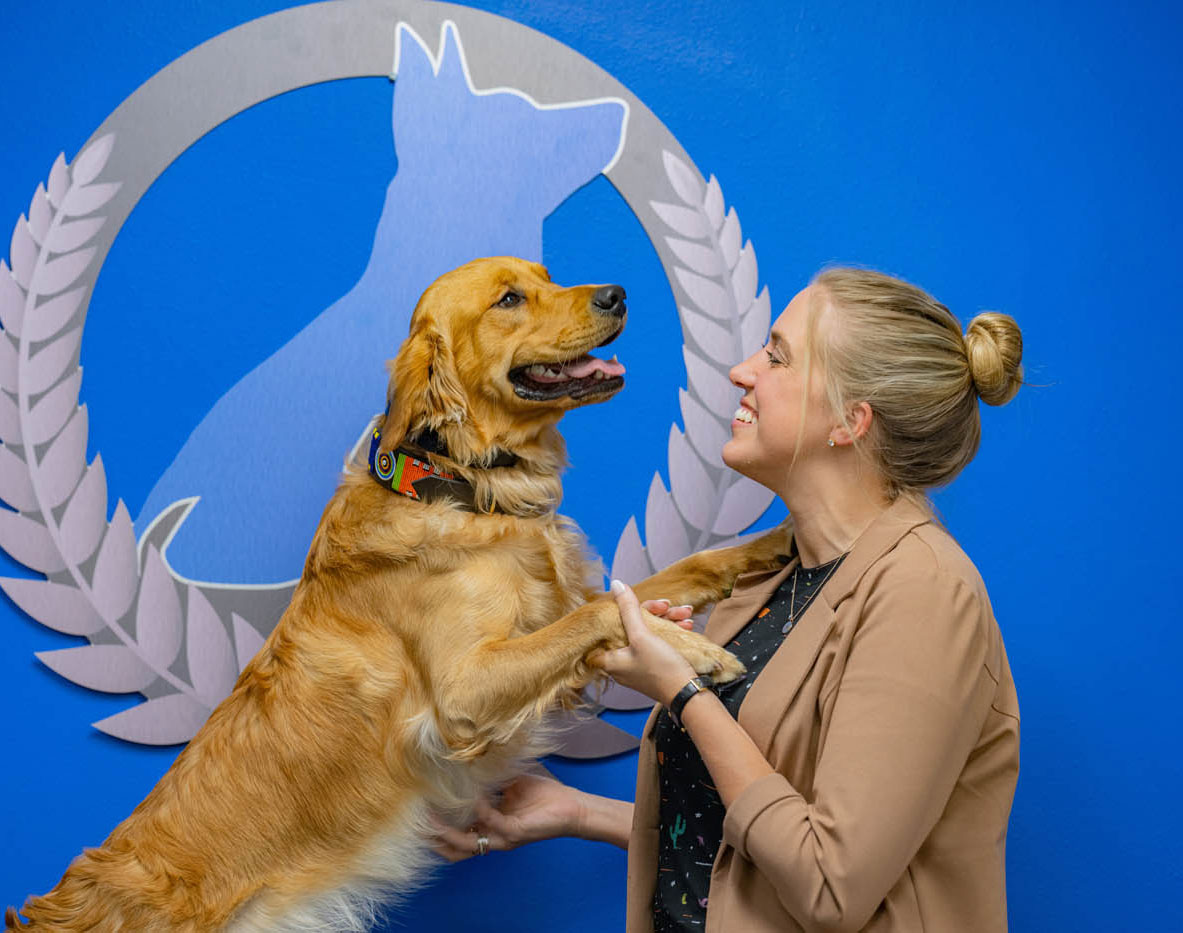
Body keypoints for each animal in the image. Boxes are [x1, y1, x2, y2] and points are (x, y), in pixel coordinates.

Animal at [9, 256, 790, 931]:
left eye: (547, 276)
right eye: (510, 298)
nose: (617, 294)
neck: (462, 487)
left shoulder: (556, 610)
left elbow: (683, 567)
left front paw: (775, 542)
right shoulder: (463, 693)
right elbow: (605, 611)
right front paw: (693, 651)